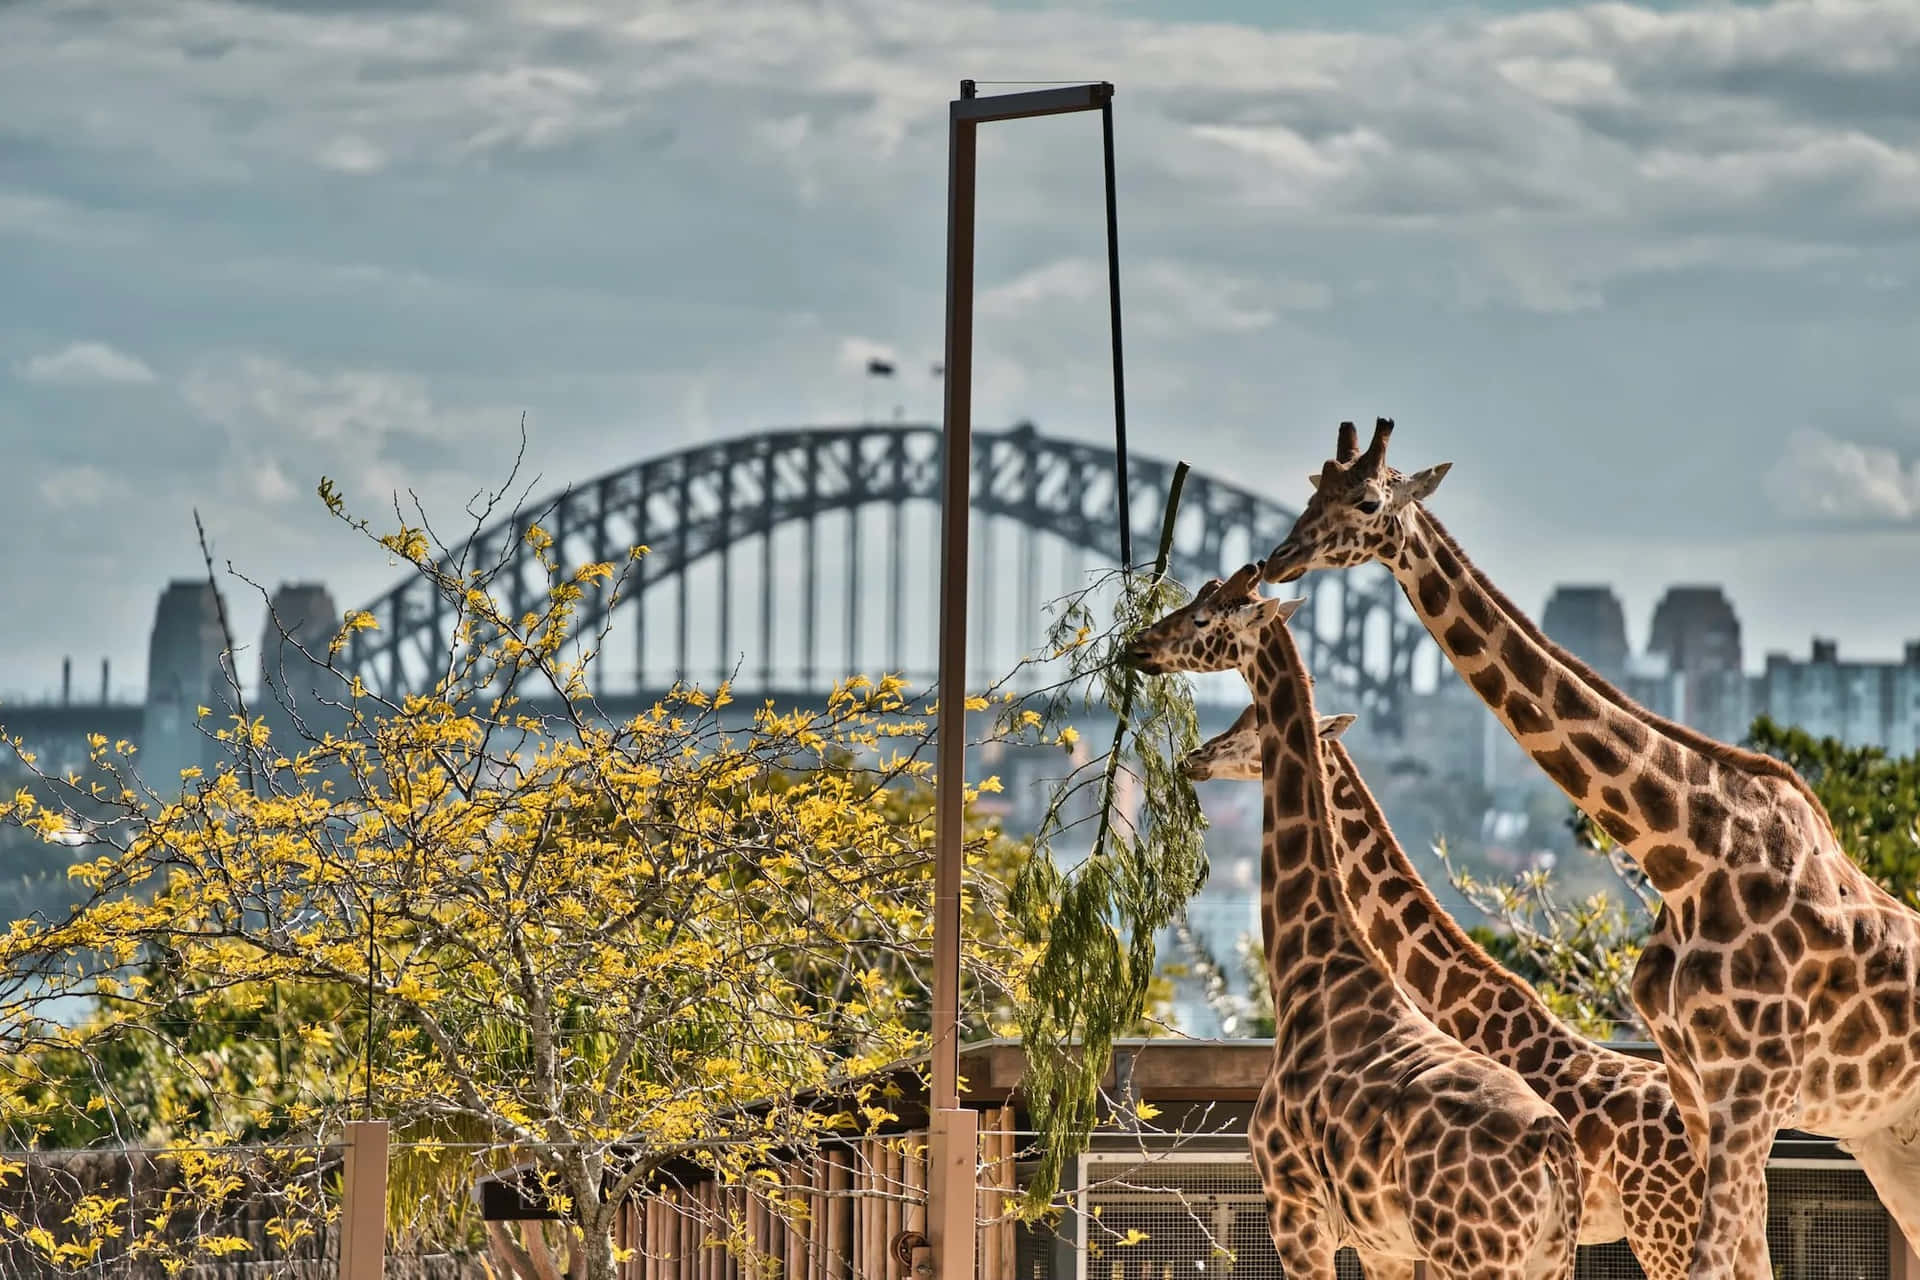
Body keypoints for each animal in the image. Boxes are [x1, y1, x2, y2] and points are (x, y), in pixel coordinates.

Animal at [1121, 568, 1582, 1280]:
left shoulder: (1295, 1212)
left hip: (1474, 1254)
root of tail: (1552, 1149)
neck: (1312, 964)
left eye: (1203, 617)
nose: (1138, 647)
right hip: (1546, 1258)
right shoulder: (1381, 1244)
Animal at [1259, 420, 1920, 1280]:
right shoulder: (1703, 1093)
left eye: (1367, 501)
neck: (1688, 853)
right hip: (1885, 1131)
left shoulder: (1752, 1090)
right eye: (1316, 486)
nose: (1277, 559)